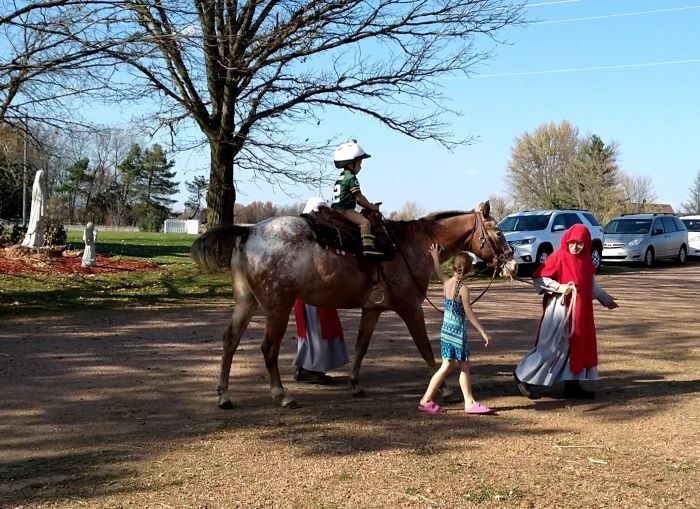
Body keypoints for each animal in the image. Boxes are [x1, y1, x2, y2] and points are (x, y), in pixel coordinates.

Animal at [190, 200, 516, 406]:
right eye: (499, 232)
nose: (511, 262)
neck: (411, 246)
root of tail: (249, 231)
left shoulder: (372, 309)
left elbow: (361, 345)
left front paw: (355, 383)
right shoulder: (410, 307)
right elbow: (424, 347)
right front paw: (445, 389)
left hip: (248, 303)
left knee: (230, 340)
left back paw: (224, 395)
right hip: (277, 307)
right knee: (268, 348)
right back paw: (282, 395)